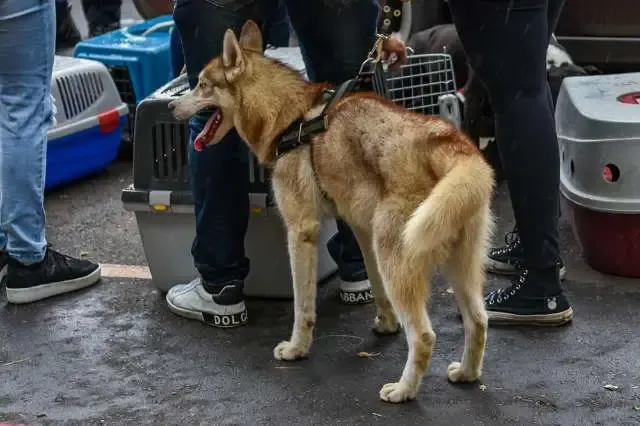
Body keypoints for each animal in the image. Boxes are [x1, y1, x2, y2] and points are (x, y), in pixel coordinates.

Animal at [169, 20, 496, 404]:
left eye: (203, 84)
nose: (172, 109)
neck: (290, 117)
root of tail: (448, 142)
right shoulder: (361, 231)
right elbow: (374, 287)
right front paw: (386, 324)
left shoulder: (300, 231)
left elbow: (302, 306)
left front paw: (296, 348)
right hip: (455, 265)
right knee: (479, 320)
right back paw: (467, 374)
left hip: (400, 261)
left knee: (424, 336)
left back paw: (403, 390)